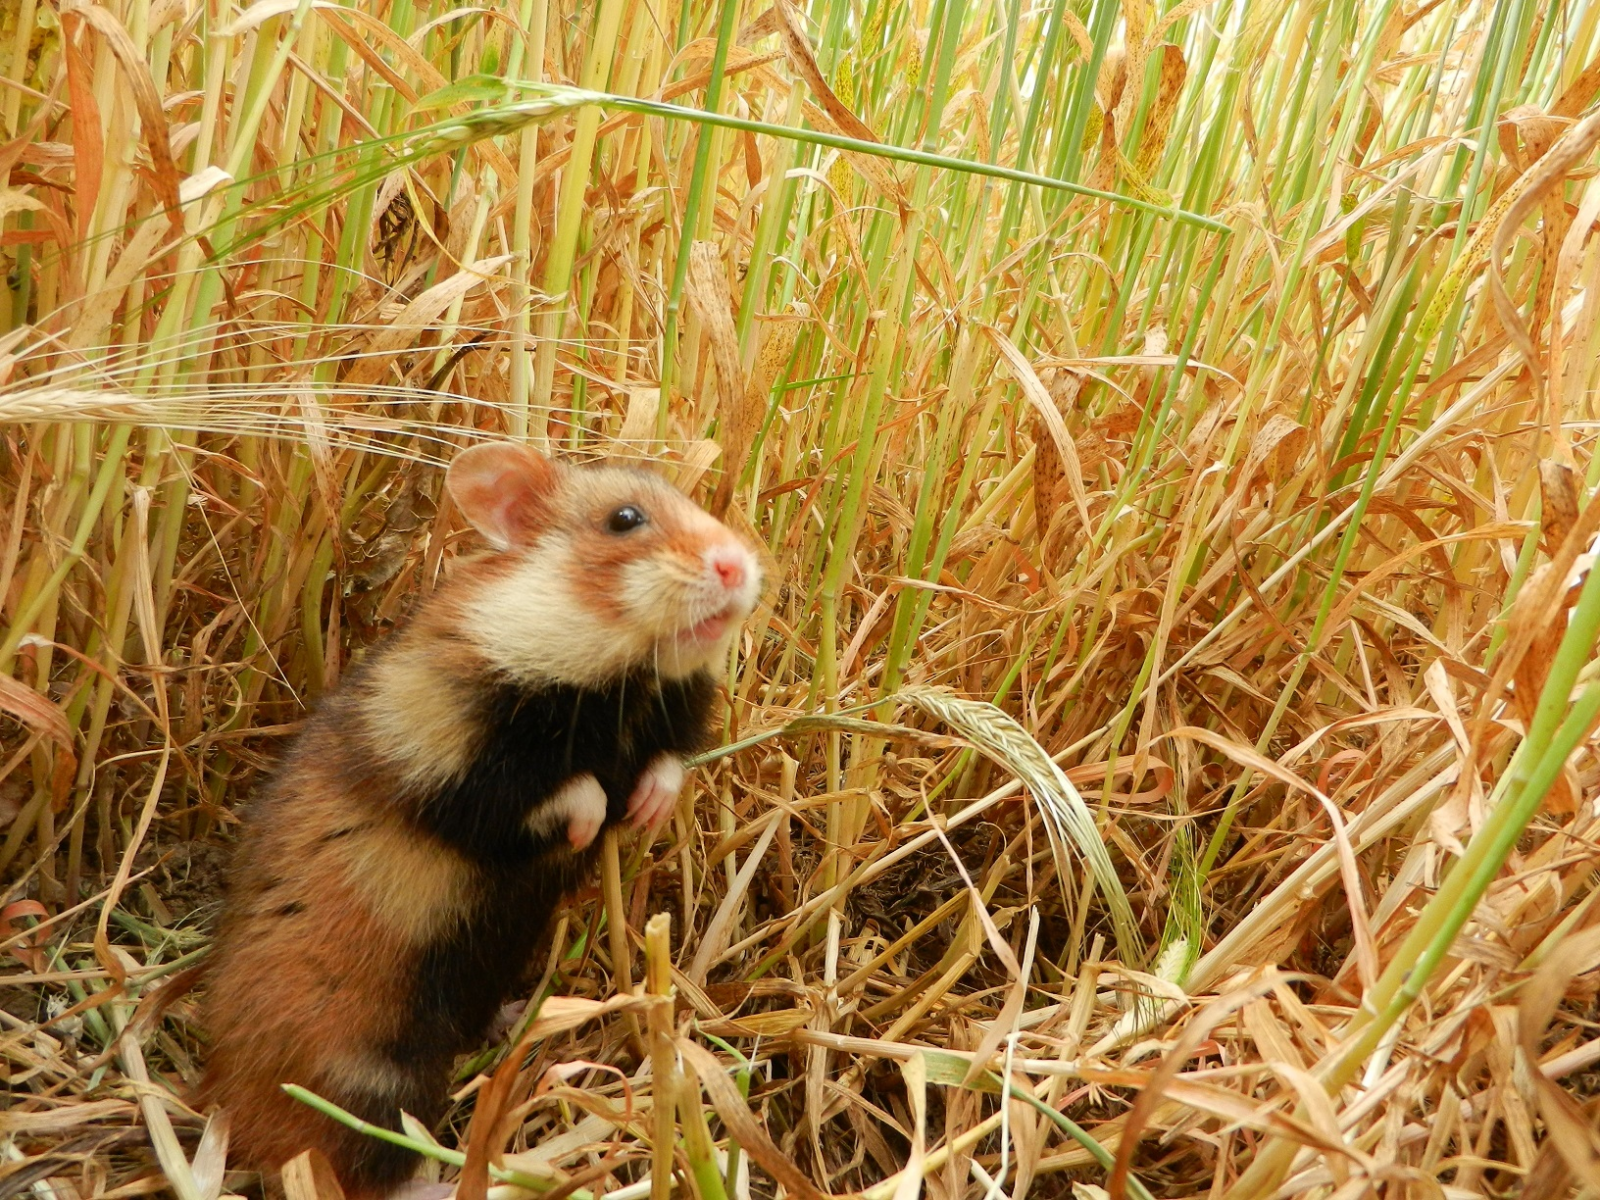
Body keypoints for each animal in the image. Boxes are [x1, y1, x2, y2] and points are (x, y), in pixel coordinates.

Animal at [198, 444, 761, 1200]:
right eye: (624, 520)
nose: (737, 565)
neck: (622, 680)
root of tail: (215, 1098)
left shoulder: (668, 720)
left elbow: (666, 765)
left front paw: (645, 808)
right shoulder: (447, 752)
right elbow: (558, 790)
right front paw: (589, 823)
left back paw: (514, 1019)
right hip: (365, 1073)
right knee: (357, 1160)